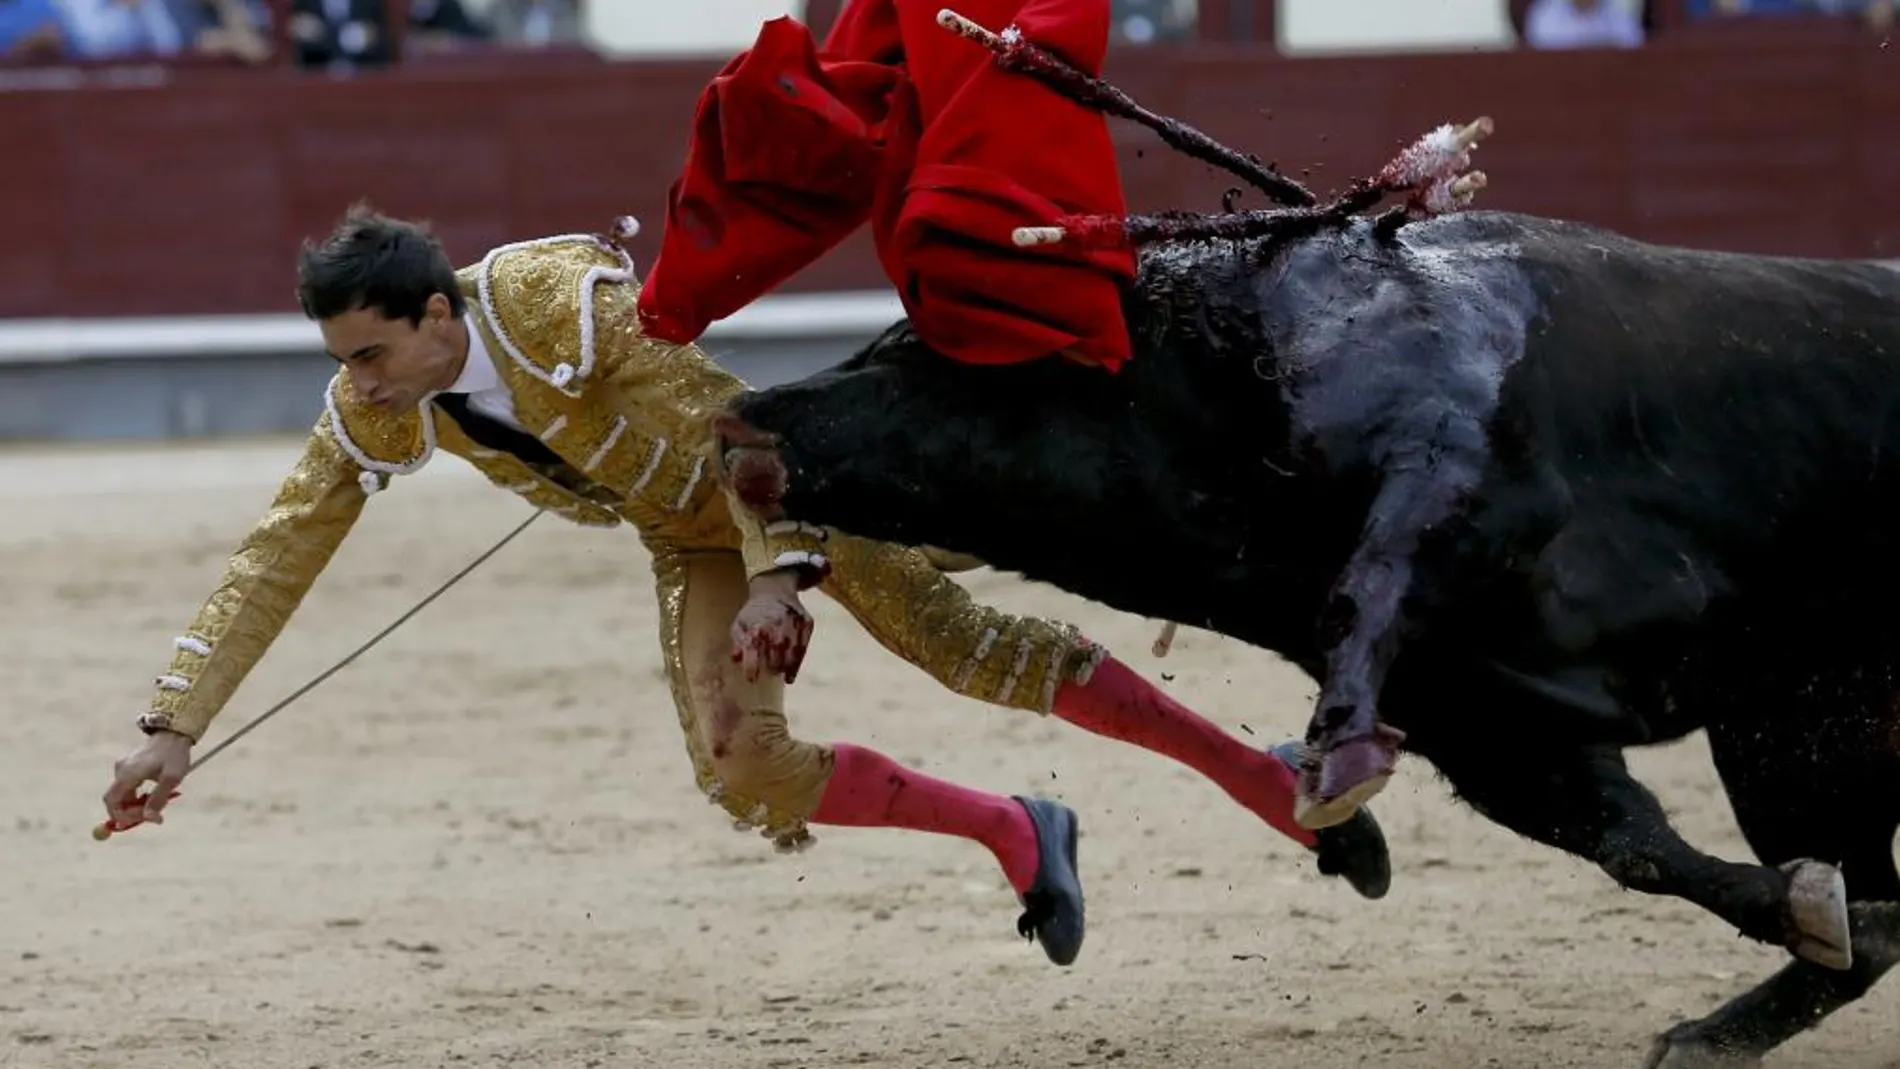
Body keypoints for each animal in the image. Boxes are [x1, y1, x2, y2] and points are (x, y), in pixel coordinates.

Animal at [714, 208, 1900, 1063]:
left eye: (924, 354)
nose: (743, 416)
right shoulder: (1484, 720)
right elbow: (1635, 842)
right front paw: (1807, 909)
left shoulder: (1464, 482)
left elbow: (1377, 580)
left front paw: (1334, 757)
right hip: (1792, 734)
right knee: (1855, 880)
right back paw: (1730, 1021)